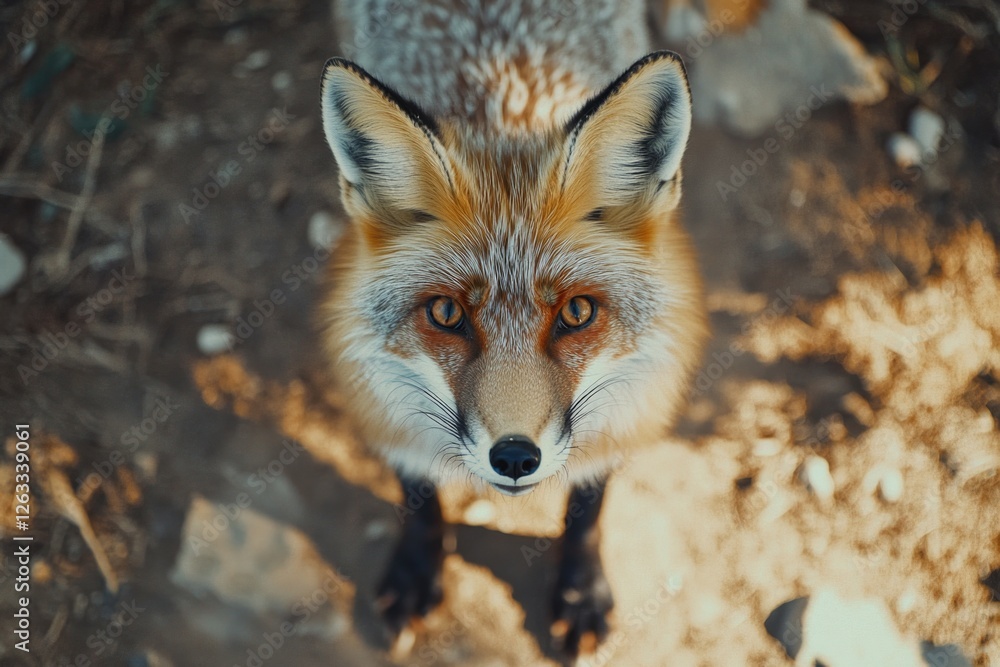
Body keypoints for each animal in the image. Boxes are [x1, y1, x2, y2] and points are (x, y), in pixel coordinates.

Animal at [318, 0, 708, 656]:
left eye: (576, 313)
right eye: (446, 314)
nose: (517, 457)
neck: (502, 115)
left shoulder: (636, 392)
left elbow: (588, 505)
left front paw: (580, 590)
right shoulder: (378, 384)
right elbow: (417, 492)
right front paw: (416, 570)